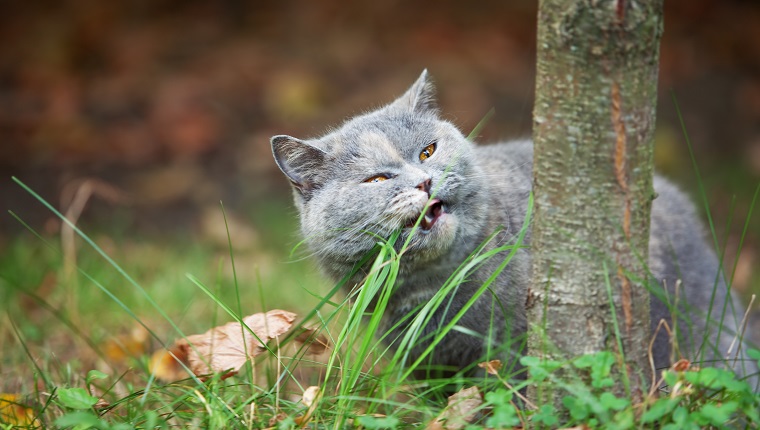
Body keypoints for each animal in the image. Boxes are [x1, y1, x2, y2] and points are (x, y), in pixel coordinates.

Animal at [270, 71, 756, 382]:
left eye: (427, 151)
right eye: (377, 180)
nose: (424, 181)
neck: (435, 290)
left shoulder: (517, 351)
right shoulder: (429, 366)